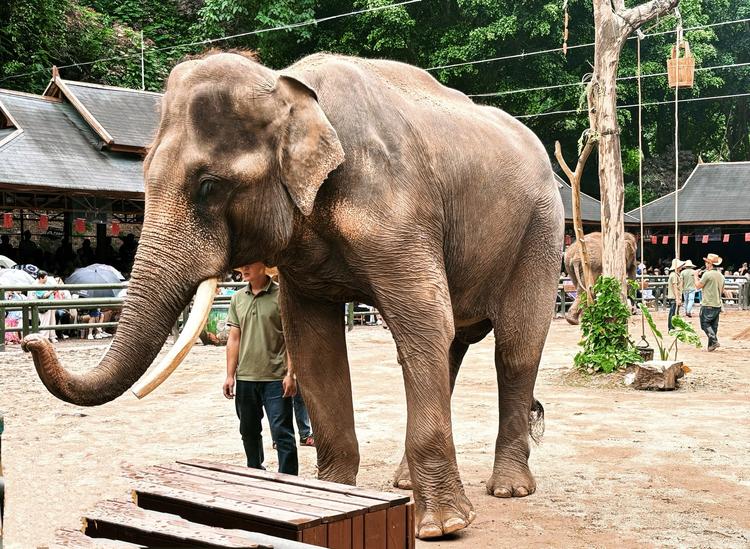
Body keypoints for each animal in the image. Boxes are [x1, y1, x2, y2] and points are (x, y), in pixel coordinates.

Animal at [23, 51, 564, 539]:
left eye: (208, 186)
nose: (34, 341)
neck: (286, 87)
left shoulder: (397, 210)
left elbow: (424, 318)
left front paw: (444, 527)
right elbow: (314, 344)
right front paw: (335, 494)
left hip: (541, 233)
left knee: (514, 348)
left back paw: (509, 489)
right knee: (449, 347)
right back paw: (404, 483)